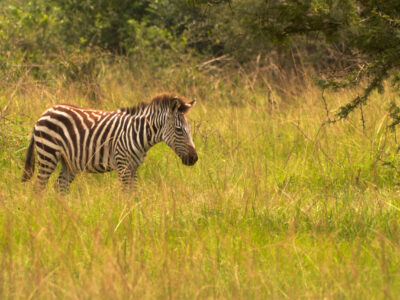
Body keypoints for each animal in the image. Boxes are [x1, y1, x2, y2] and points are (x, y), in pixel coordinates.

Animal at [21, 92, 198, 193]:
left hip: (68, 162)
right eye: (179, 130)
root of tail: (45, 112)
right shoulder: (123, 166)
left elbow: (134, 194)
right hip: (48, 154)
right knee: (39, 188)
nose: (194, 158)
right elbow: (126, 195)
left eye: (190, 129)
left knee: (59, 188)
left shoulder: (133, 168)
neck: (138, 133)